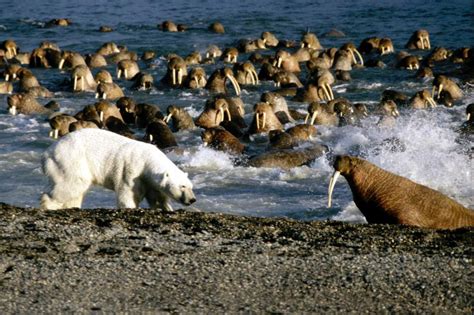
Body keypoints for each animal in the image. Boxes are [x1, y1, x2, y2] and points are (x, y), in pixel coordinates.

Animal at [39, 127, 195, 211]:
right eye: (182, 186)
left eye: (190, 186)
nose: (192, 199)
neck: (147, 160)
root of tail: (47, 153)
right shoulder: (132, 170)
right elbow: (128, 193)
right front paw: (131, 206)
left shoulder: (150, 181)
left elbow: (157, 197)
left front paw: (167, 208)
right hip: (71, 160)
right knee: (73, 183)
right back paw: (49, 205)